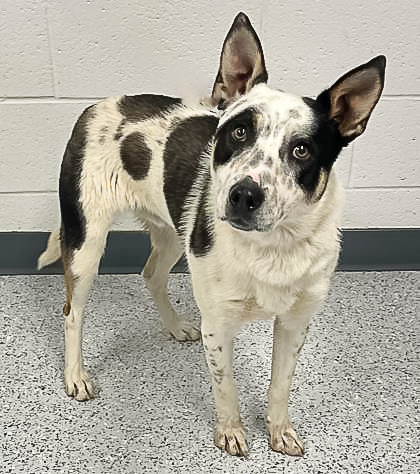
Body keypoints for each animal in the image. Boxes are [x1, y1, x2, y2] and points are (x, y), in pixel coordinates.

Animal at [38, 12, 384, 458]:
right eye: (239, 133)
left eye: (302, 150)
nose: (244, 195)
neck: (273, 245)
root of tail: (98, 104)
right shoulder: (218, 324)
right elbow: (226, 387)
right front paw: (231, 431)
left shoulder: (296, 322)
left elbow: (281, 385)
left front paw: (278, 430)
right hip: (86, 242)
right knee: (72, 313)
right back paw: (75, 375)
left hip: (174, 233)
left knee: (151, 274)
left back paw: (174, 326)